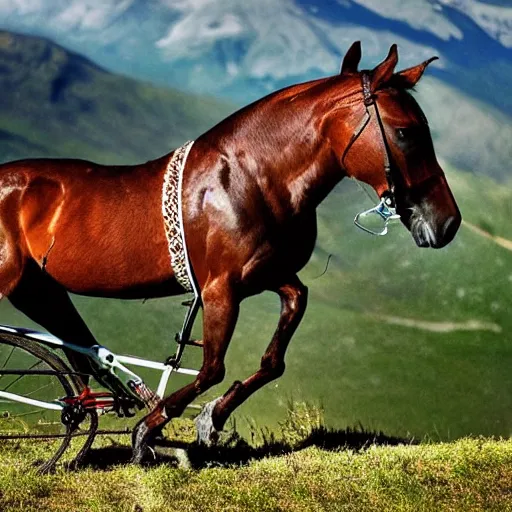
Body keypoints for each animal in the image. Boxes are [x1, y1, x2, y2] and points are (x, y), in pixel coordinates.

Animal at [0, 42, 460, 462]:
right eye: (406, 132)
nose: (447, 222)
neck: (250, 180)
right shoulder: (220, 289)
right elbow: (211, 368)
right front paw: (152, 428)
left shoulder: (266, 276)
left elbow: (277, 349)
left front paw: (210, 418)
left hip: (37, 289)